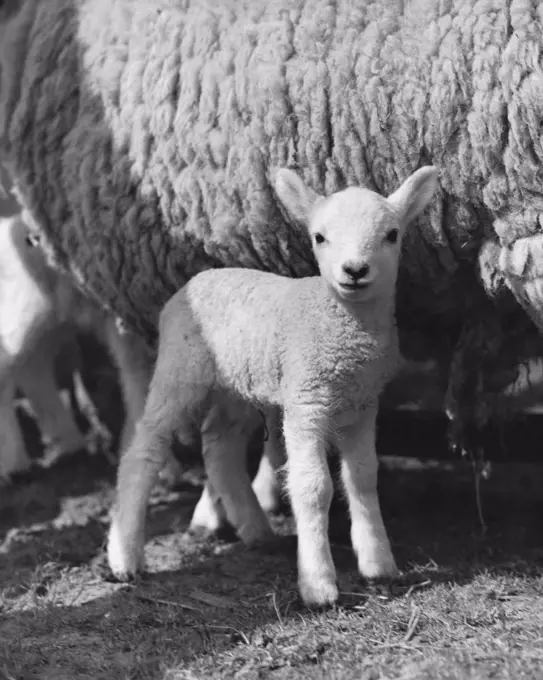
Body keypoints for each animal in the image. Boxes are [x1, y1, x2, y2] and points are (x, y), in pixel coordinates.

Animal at [107, 163, 442, 604]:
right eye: (319, 237)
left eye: (392, 234)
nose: (354, 271)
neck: (342, 326)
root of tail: (199, 279)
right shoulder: (306, 399)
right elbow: (313, 486)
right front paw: (318, 584)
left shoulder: (363, 402)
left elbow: (363, 478)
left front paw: (379, 564)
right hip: (179, 370)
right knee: (144, 450)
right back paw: (124, 556)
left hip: (238, 383)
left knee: (219, 444)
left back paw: (254, 529)